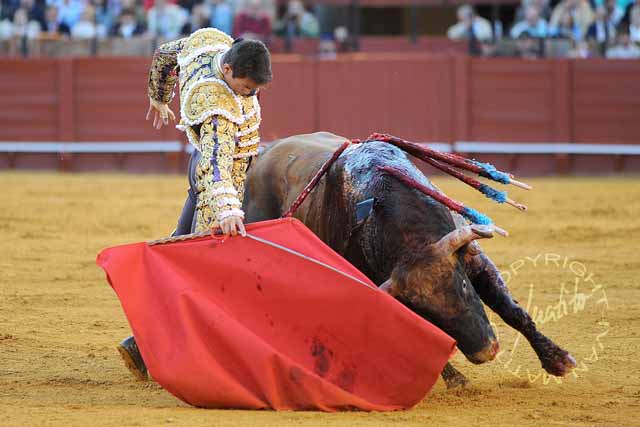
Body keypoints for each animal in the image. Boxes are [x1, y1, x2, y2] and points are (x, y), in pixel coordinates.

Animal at [172, 131, 576, 384]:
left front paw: (558, 360)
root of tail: (261, 155)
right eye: (425, 311)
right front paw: (456, 379)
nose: (486, 352)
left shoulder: (473, 257)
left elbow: (513, 311)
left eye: (463, 287)